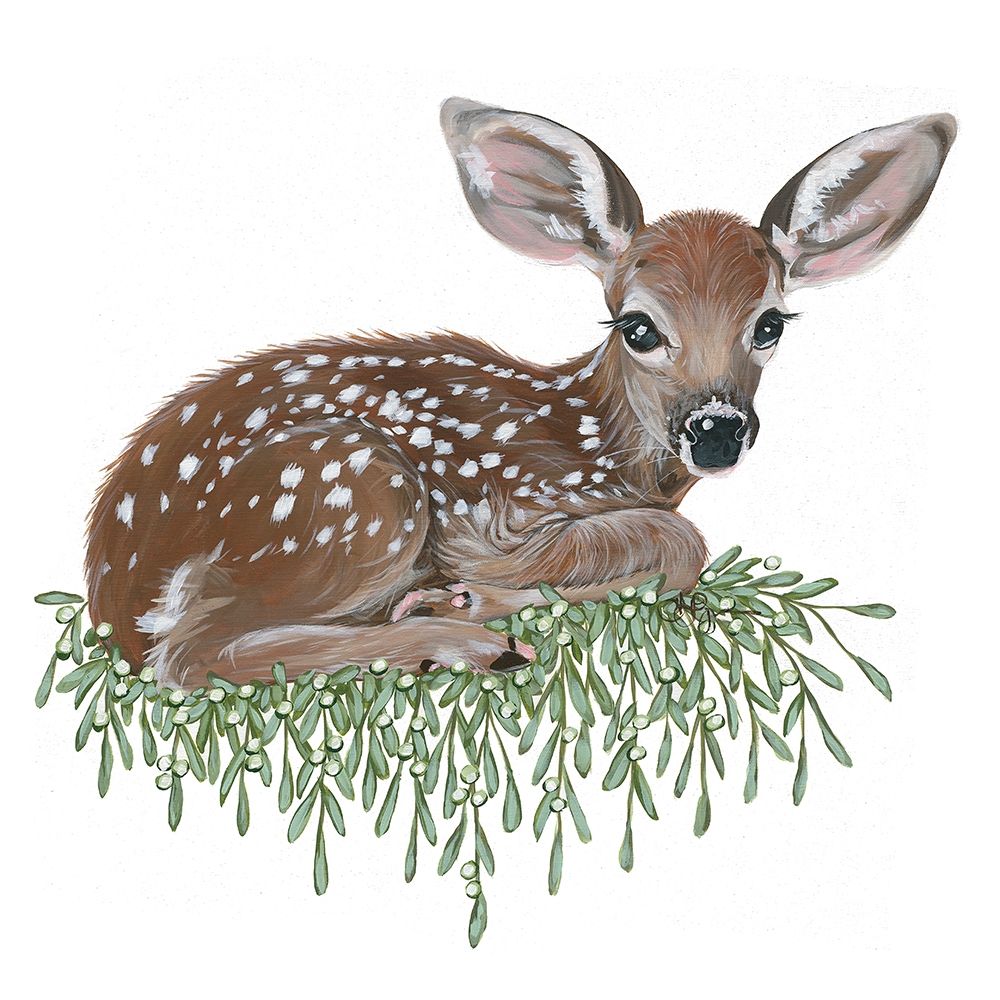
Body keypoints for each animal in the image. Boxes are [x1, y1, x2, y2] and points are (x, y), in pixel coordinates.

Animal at [85, 98, 956, 688]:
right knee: (185, 655)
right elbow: (677, 545)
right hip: (355, 491)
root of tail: (110, 584)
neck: (605, 445)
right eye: (638, 327)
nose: (716, 429)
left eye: (770, 323)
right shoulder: (503, 504)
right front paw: (474, 598)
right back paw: (463, 643)